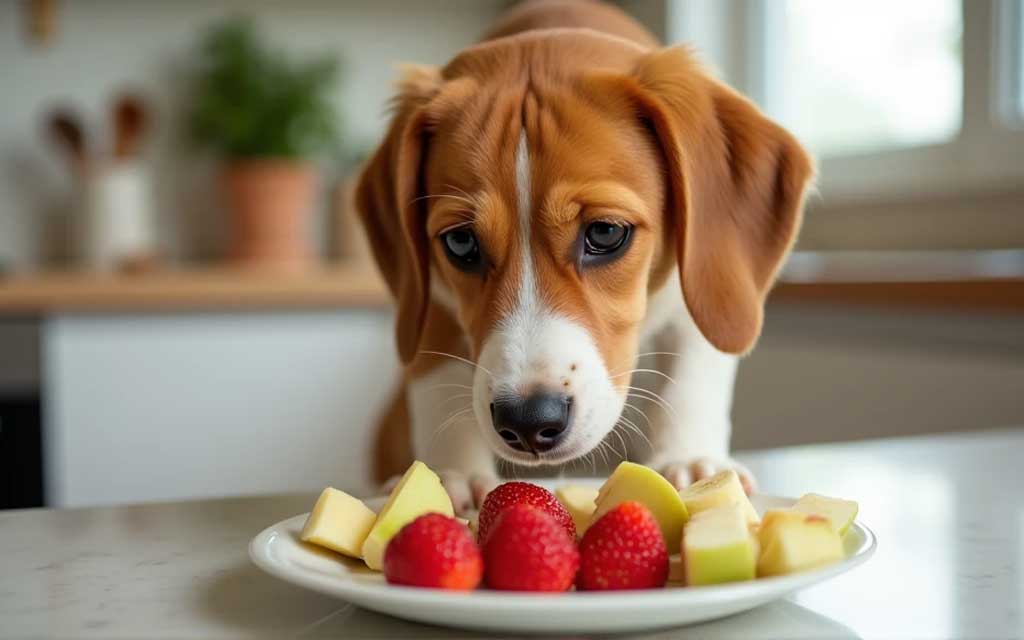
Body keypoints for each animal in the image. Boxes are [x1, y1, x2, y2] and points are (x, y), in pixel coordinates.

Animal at [356, 0, 811, 512]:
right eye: (461, 243)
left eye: (606, 233)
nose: (529, 421)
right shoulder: (432, 300)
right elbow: (435, 380)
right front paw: (449, 473)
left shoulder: (698, 285)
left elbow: (693, 372)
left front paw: (691, 460)